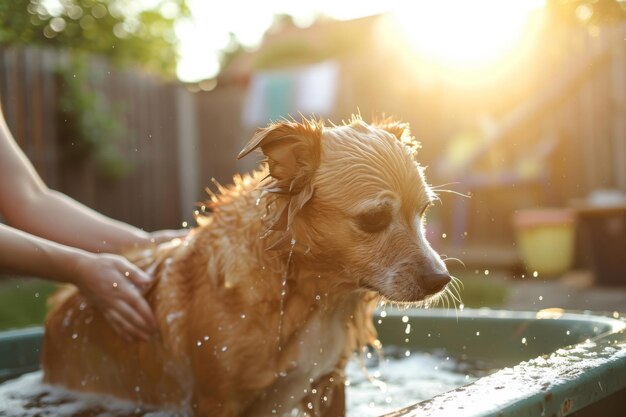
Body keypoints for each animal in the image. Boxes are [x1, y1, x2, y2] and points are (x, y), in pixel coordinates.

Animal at [41, 115, 450, 414]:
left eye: (424, 212)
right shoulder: (216, 401)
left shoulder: (328, 384)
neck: (305, 291)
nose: (440, 279)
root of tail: (61, 302)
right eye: (374, 219)